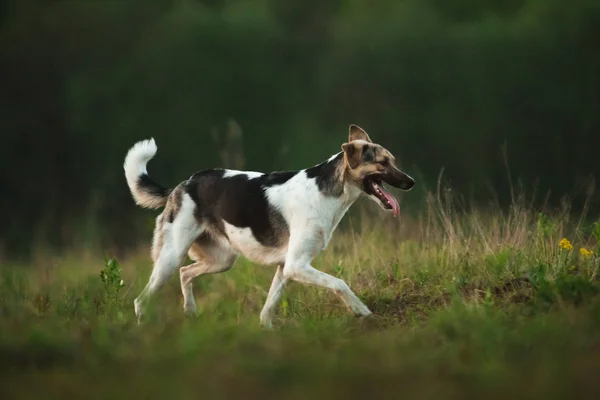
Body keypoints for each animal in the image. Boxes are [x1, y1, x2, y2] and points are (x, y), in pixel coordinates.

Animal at [122, 125, 412, 328]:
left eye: (393, 160)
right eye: (383, 163)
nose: (411, 182)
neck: (328, 193)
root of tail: (180, 186)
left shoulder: (286, 267)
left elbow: (268, 307)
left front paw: (267, 333)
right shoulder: (297, 265)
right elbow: (339, 283)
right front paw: (360, 310)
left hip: (221, 260)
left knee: (185, 274)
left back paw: (190, 312)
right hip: (171, 257)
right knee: (141, 300)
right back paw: (146, 328)